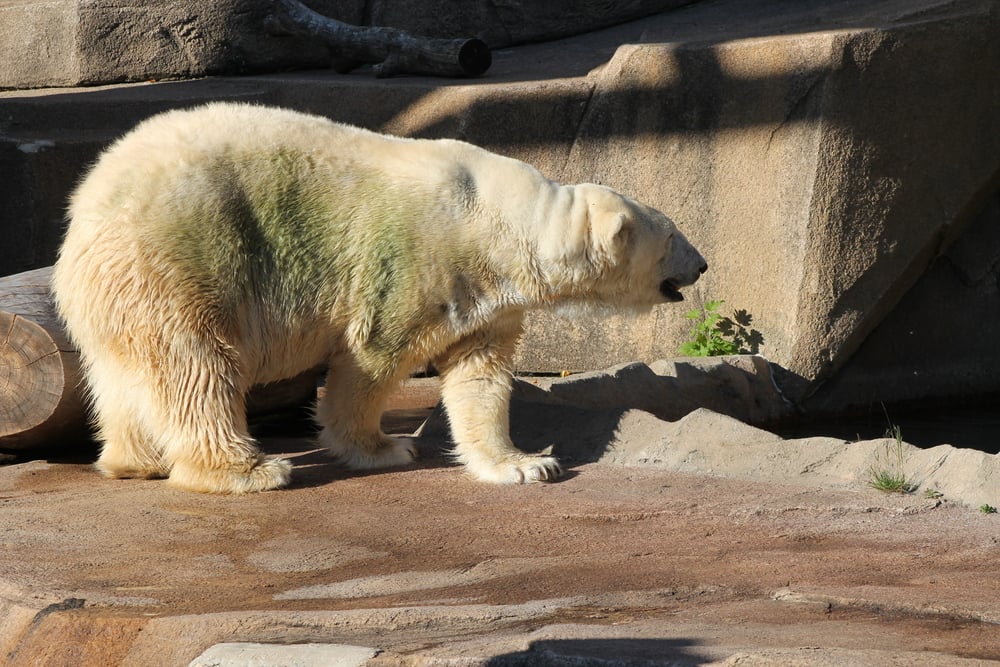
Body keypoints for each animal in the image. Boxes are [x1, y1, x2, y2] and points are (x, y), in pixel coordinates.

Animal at [52, 102, 707, 494]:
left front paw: (524, 463)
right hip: (185, 254)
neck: (494, 221)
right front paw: (384, 447)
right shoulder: (415, 262)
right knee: (199, 366)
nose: (702, 265)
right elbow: (370, 358)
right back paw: (250, 469)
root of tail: (85, 207)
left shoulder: (486, 297)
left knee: (126, 371)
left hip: (123, 289)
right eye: (674, 235)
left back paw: (134, 459)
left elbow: (480, 378)